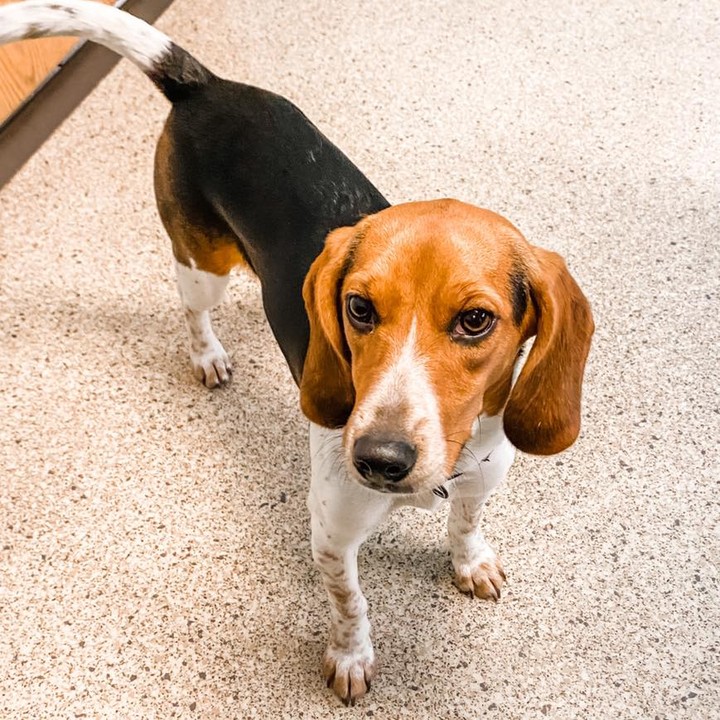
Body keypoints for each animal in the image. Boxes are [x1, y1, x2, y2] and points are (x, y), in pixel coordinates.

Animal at [1, 0, 596, 704]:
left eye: (476, 320)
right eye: (359, 308)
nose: (379, 460)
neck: (444, 469)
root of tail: (205, 85)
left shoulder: (482, 479)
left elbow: (466, 525)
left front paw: (469, 562)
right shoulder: (332, 534)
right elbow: (350, 604)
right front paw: (350, 657)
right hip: (202, 264)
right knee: (193, 308)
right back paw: (207, 355)